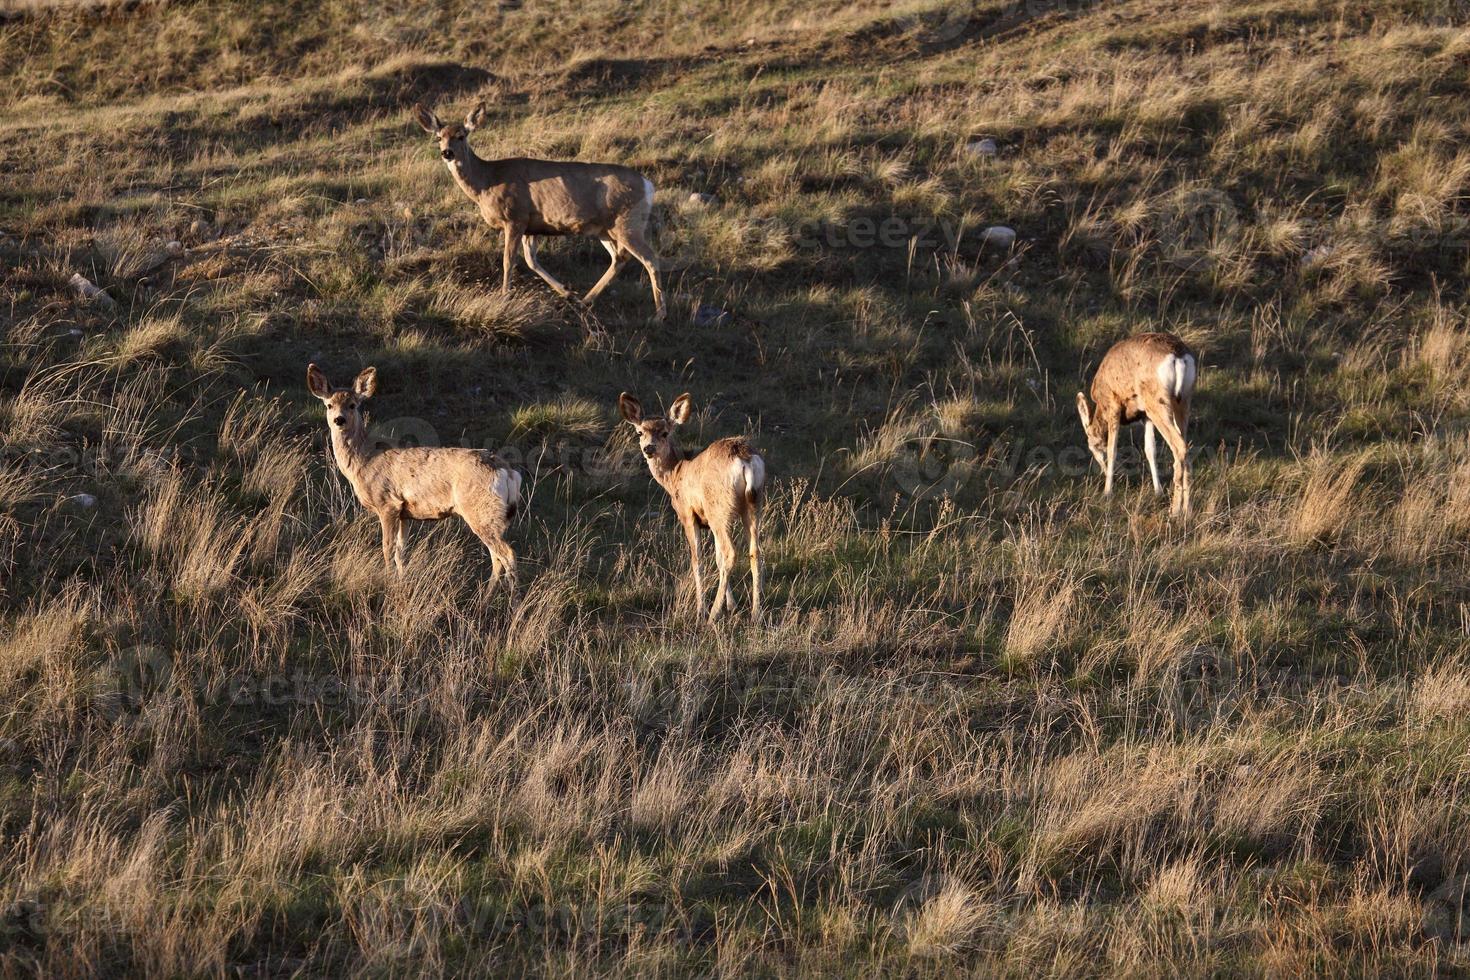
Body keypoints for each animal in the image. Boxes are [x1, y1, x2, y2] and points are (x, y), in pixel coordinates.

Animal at [304, 364, 523, 587]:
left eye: (352, 405)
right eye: (329, 405)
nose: (339, 420)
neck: (364, 461)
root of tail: (509, 472)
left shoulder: (387, 504)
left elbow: (387, 549)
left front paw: (389, 582)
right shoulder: (404, 513)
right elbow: (401, 553)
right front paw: (402, 582)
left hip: (481, 510)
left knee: (508, 554)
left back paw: (513, 596)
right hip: (492, 516)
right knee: (497, 557)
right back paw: (487, 594)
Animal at [414, 101, 667, 320]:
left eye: (461, 136)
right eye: (438, 137)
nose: (447, 152)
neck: (486, 182)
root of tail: (648, 185)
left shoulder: (515, 216)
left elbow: (509, 260)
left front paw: (504, 298)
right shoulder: (531, 226)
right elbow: (531, 261)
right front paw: (567, 292)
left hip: (628, 222)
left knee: (650, 258)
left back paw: (659, 315)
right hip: (605, 228)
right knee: (619, 257)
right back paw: (585, 300)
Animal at [617, 390, 770, 620]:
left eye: (664, 433)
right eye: (640, 432)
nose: (648, 448)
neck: (675, 474)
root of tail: (745, 458)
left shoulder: (688, 515)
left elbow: (697, 559)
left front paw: (702, 609)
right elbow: (716, 559)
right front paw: (731, 605)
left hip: (718, 507)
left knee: (730, 552)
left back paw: (712, 615)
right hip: (753, 503)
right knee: (754, 551)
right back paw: (755, 613)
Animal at [1076, 333, 1199, 517]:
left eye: (1093, 447)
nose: (1102, 470)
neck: (1100, 404)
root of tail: (1178, 356)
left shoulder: (1114, 405)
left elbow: (1113, 449)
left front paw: (1107, 492)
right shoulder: (1145, 416)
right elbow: (1150, 450)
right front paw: (1158, 491)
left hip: (1156, 401)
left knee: (1179, 446)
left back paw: (1175, 511)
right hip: (1183, 400)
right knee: (1187, 446)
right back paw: (1188, 509)